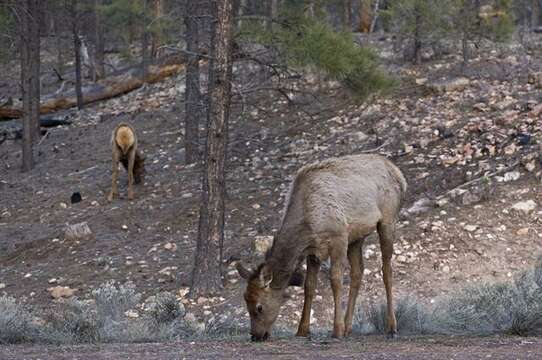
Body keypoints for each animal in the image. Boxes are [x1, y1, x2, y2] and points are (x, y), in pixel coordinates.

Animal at [238, 154, 408, 340]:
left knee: (386, 270)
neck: (307, 225)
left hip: (387, 220)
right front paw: (302, 330)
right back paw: (349, 326)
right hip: (357, 237)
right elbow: (309, 285)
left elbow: (336, 280)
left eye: (259, 307)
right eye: (245, 299)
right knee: (358, 272)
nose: (255, 335)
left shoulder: (339, 237)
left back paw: (391, 326)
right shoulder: (313, 251)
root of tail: (399, 174)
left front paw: (337, 329)